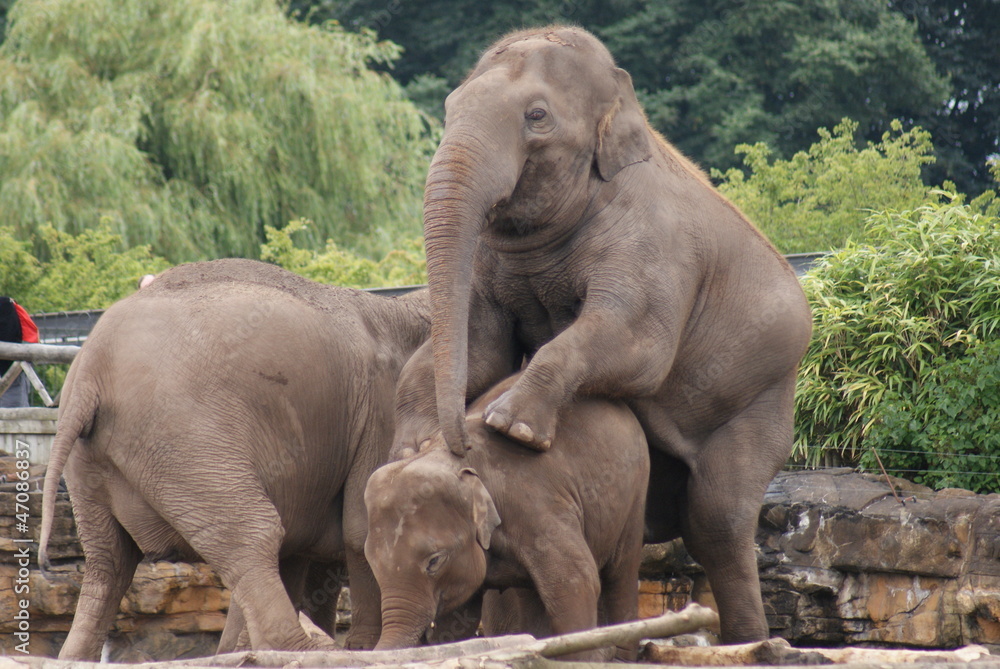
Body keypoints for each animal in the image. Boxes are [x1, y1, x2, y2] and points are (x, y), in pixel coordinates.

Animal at [38, 258, 430, 660]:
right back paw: (303, 649)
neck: (402, 309)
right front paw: (369, 648)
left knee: (107, 562)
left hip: (92, 462)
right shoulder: (380, 410)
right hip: (186, 437)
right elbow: (360, 528)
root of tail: (89, 373)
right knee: (253, 533)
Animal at [366, 373, 649, 661]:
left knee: (621, 572)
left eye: (434, 561)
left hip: (636, 492)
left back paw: (619, 657)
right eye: (371, 562)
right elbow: (458, 619)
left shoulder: (535, 508)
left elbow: (577, 583)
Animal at [392, 26, 813, 644]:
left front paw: (511, 427)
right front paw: (410, 446)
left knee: (715, 518)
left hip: (762, 395)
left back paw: (753, 642)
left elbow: (637, 345)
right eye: (449, 107)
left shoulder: (658, 247)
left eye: (536, 116)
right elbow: (484, 343)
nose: (460, 445)